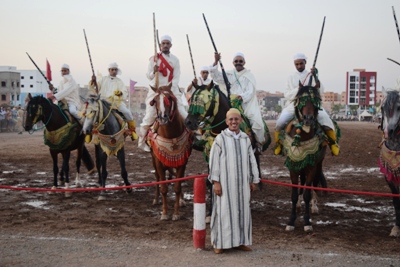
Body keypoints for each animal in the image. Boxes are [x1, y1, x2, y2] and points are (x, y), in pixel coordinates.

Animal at [146, 84, 193, 222]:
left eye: (169, 99)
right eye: (155, 100)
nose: (163, 118)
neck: (170, 135)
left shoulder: (182, 162)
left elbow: (177, 186)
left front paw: (176, 213)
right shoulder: (158, 162)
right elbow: (163, 188)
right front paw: (164, 213)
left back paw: (182, 200)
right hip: (154, 159)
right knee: (157, 177)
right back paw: (156, 199)